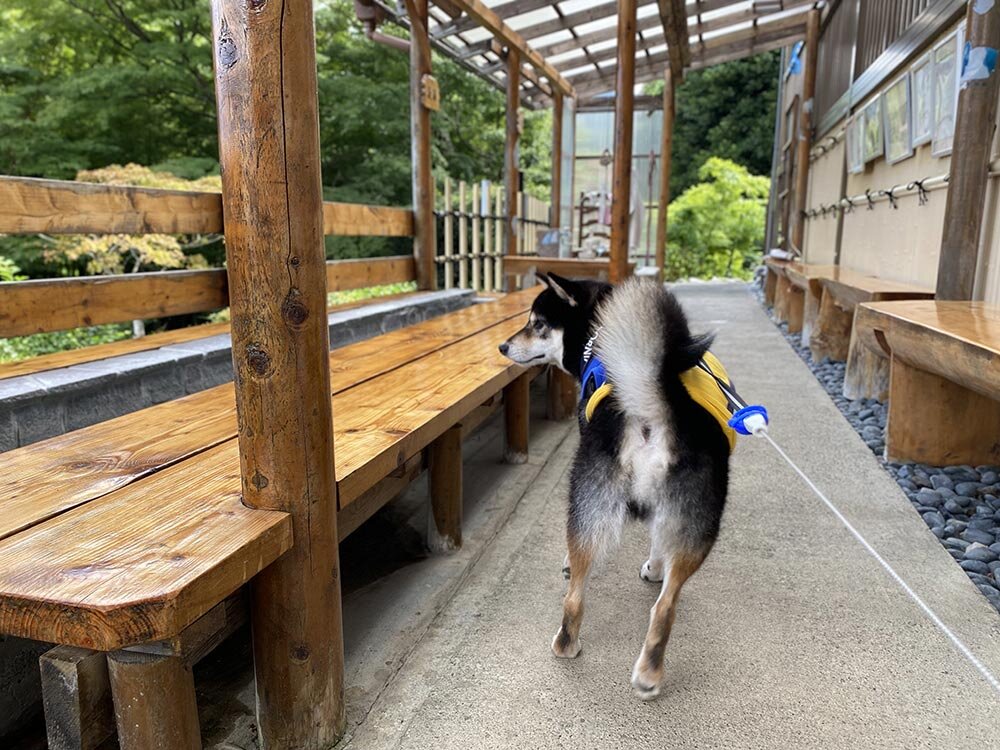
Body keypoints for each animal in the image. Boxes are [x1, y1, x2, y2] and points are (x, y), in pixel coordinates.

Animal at [498, 274, 728, 704]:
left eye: (537, 324)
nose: (503, 346)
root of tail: (653, 412)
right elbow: (657, 544)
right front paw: (654, 568)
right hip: (695, 523)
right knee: (664, 606)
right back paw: (648, 675)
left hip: (587, 499)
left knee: (575, 593)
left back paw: (567, 644)